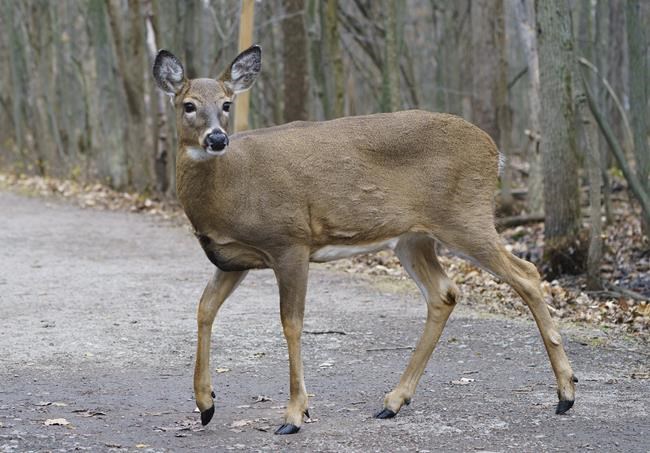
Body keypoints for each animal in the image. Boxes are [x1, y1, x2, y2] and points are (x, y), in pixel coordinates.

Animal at [152, 45, 577, 435]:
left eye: (227, 104)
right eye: (188, 105)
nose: (217, 138)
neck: (230, 190)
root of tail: (495, 152)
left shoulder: (290, 241)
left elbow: (291, 323)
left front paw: (294, 415)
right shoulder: (235, 259)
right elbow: (204, 308)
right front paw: (205, 403)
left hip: (464, 217)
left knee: (526, 273)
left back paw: (566, 393)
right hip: (413, 238)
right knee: (444, 292)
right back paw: (393, 401)